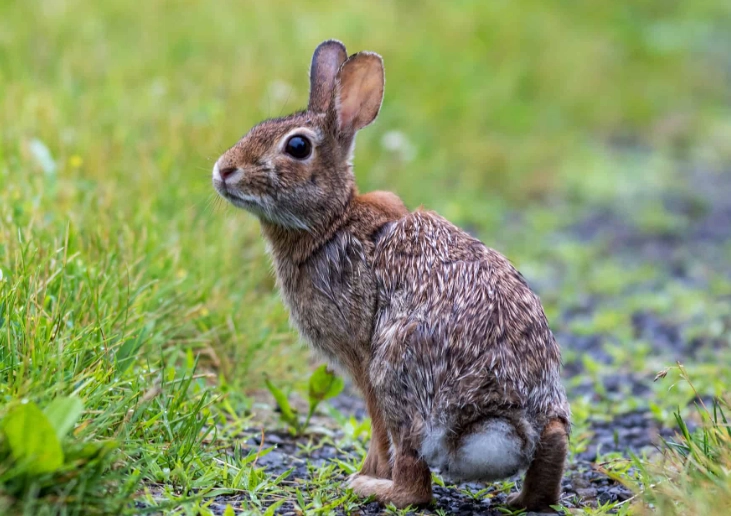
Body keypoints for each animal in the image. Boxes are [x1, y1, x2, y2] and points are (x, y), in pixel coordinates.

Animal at [212, 39, 570, 512]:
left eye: (297, 146)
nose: (223, 170)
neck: (330, 223)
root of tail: (502, 418)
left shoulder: (362, 358)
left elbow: (376, 426)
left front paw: (368, 470)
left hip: (398, 372)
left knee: (414, 483)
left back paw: (370, 487)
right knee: (554, 440)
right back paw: (522, 499)